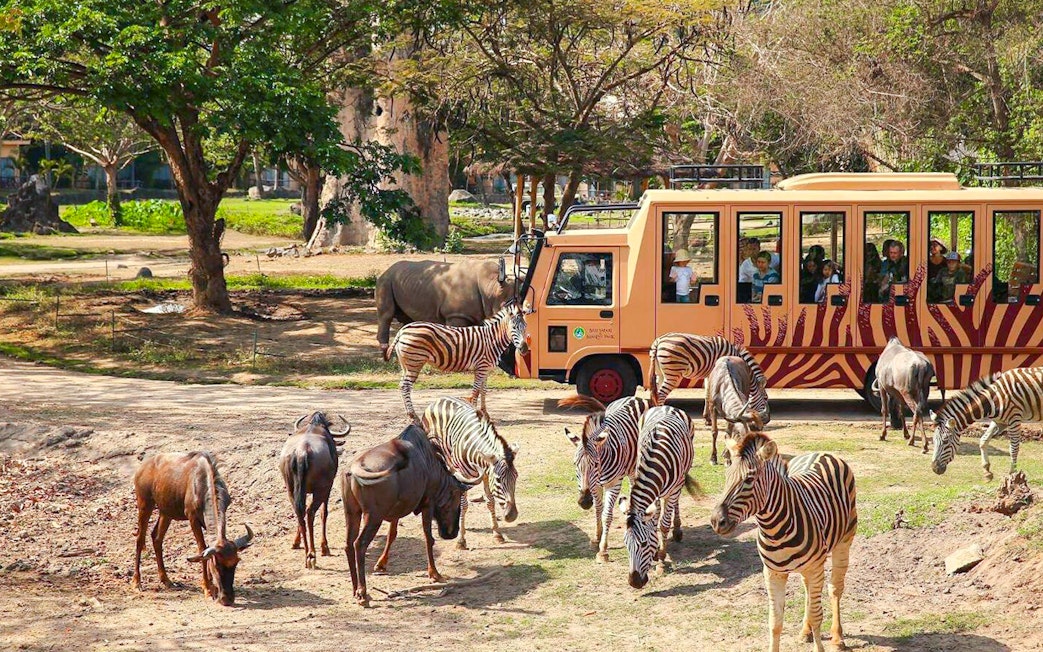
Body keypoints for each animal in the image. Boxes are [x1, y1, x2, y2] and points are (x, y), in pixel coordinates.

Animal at [372, 396, 519, 571]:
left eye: (516, 477)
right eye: (498, 480)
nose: (512, 516)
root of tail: (439, 398)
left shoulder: (485, 474)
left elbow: (490, 502)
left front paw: (497, 533)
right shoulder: (465, 474)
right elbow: (464, 505)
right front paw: (461, 541)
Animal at [386, 302, 530, 423]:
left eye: (525, 327)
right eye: (514, 327)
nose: (524, 349)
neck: (492, 339)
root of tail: (402, 330)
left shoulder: (485, 369)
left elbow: (483, 391)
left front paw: (485, 414)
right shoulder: (481, 367)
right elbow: (476, 391)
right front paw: (476, 415)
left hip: (406, 364)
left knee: (401, 385)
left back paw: (410, 415)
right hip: (414, 362)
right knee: (405, 386)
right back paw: (413, 416)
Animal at [560, 394, 651, 562]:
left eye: (596, 464)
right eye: (575, 464)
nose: (584, 502)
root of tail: (635, 397)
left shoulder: (613, 484)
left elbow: (607, 515)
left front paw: (603, 550)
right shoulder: (595, 486)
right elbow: (598, 510)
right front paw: (597, 538)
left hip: (636, 465)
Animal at [617, 405, 699, 588]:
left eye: (643, 544)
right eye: (625, 544)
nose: (634, 583)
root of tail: (666, 406)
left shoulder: (674, 490)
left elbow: (664, 525)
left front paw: (661, 561)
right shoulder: (653, 491)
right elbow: (654, 522)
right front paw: (656, 552)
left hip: (681, 478)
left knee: (675, 505)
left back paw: (677, 530)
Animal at [710, 432, 857, 652]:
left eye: (749, 479)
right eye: (727, 477)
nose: (716, 521)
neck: (774, 529)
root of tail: (822, 452)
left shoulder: (815, 567)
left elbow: (817, 616)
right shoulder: (772, 573)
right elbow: (775, 622)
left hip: (844, 542)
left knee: (835, 588)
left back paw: (838, 637)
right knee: (808, 589)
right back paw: (805, 631)